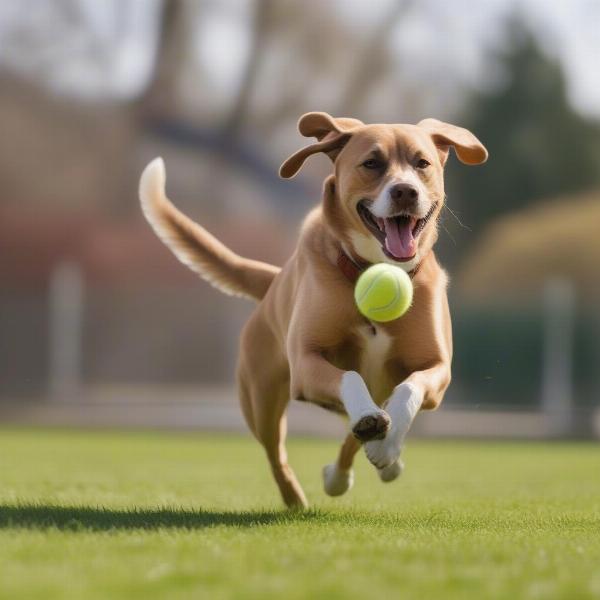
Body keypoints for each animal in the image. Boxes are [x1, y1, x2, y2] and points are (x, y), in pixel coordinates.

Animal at [141, 111, 488, 506]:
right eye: (372, 163)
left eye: (422, 163)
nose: (405, 191)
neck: (371, 267)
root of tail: (274, 282)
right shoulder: (307, 364)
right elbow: (350, 377)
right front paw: (371, 426)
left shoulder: (437, 369)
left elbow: (409, 388)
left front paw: (387, 448)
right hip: (261, 400)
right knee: (277, 452)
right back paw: (298, 496)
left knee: (357, 432)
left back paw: (369, 461)